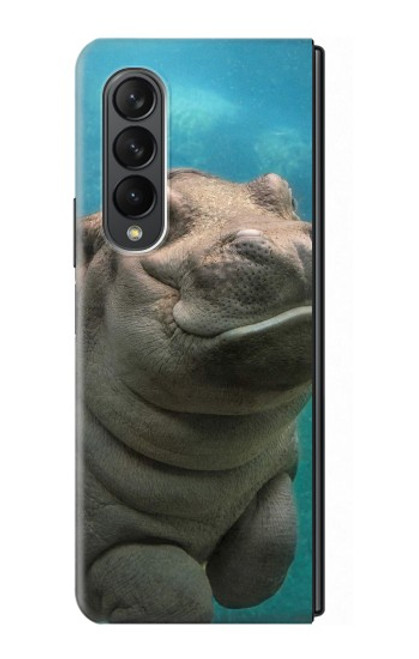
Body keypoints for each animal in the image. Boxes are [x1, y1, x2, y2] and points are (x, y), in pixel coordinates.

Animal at [76, 169, 312, 623]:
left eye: (287, 193)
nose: (295, 245)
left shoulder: (274, 471)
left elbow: (270, 542)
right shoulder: (105, 540)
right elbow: (175, 593)